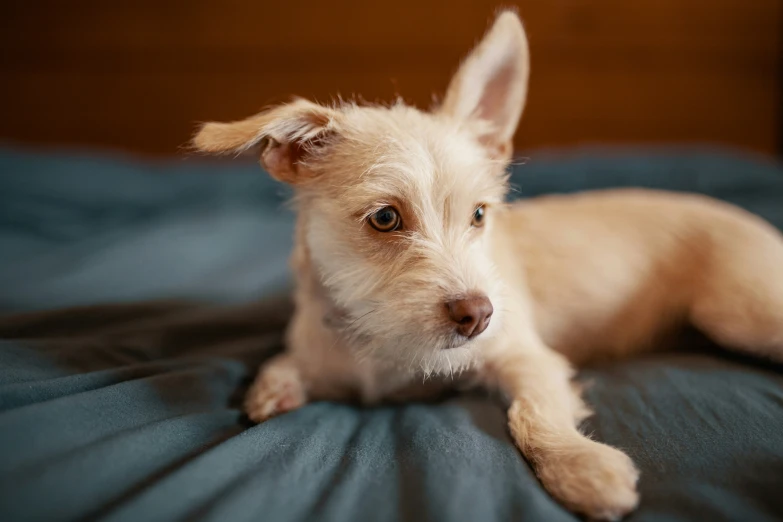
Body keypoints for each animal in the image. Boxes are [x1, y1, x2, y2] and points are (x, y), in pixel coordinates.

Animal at [193, 10, 783, 516]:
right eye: (384, 218)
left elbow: (532, 413)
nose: (478, 314)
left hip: (741, 313)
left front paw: (581, 467)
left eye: (479, 214)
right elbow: (284, 366)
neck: (380, 344)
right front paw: (272, 389)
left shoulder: (529, 359)